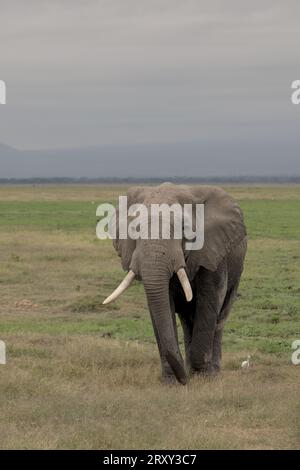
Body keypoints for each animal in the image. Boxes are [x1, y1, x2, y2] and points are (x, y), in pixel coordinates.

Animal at [102, 182, 246, 384]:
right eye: (134, 230)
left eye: (184, 230)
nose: (183, 380)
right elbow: (161, 304)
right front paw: (171, 381)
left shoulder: (213, 251)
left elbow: (209, 301)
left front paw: (203, 377)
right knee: (187, 320)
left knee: (219, 317)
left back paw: (211, 371)